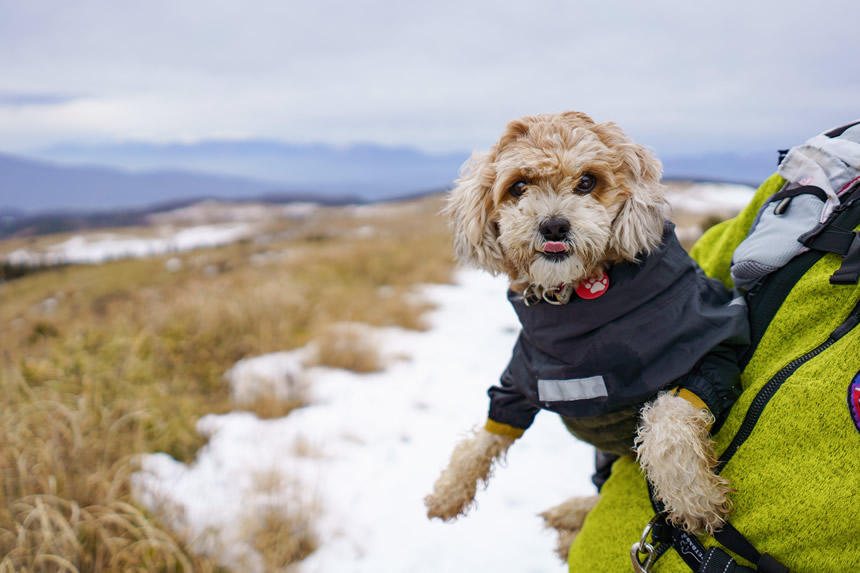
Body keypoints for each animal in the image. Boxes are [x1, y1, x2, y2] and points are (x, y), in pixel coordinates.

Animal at [424, 110, 744, 540]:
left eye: (587, 182)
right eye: (519, 186)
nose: (553, 227)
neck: (576, 303)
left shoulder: (714, 350)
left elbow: (668, 419)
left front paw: (693, 496)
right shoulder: (519, 380)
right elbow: (485, 435)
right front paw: (449, 490)